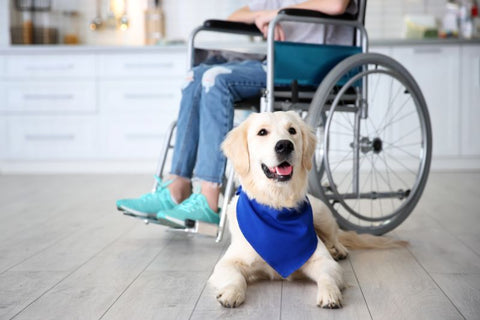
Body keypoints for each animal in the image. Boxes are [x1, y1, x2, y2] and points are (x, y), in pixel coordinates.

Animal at [210, 110, 404, 308]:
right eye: (262, 132)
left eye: (292, 130)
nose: (285, 145)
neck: (278, 204)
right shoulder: (227, 263)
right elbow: (235, 277)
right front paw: (231, 293)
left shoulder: (324, 261)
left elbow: (327, 276)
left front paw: (330, 293)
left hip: (321, 213)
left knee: (334, 236)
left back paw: (338, 249)